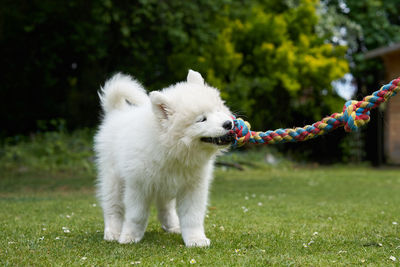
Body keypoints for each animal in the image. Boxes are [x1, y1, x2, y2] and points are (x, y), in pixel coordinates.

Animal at [94, 70, 234, 248]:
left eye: (217, 110)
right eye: (202, 119)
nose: (228, 123)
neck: (173, 152)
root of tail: (117, 111)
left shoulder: (193, 187)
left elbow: (192, 216)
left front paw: (196, 239)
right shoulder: (138, 186)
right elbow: (136, 215)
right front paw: (129, 237)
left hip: (164, 185)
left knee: (165, 207)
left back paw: (172, 226)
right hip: (113, 178)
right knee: (113, 207)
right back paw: (112, 232)